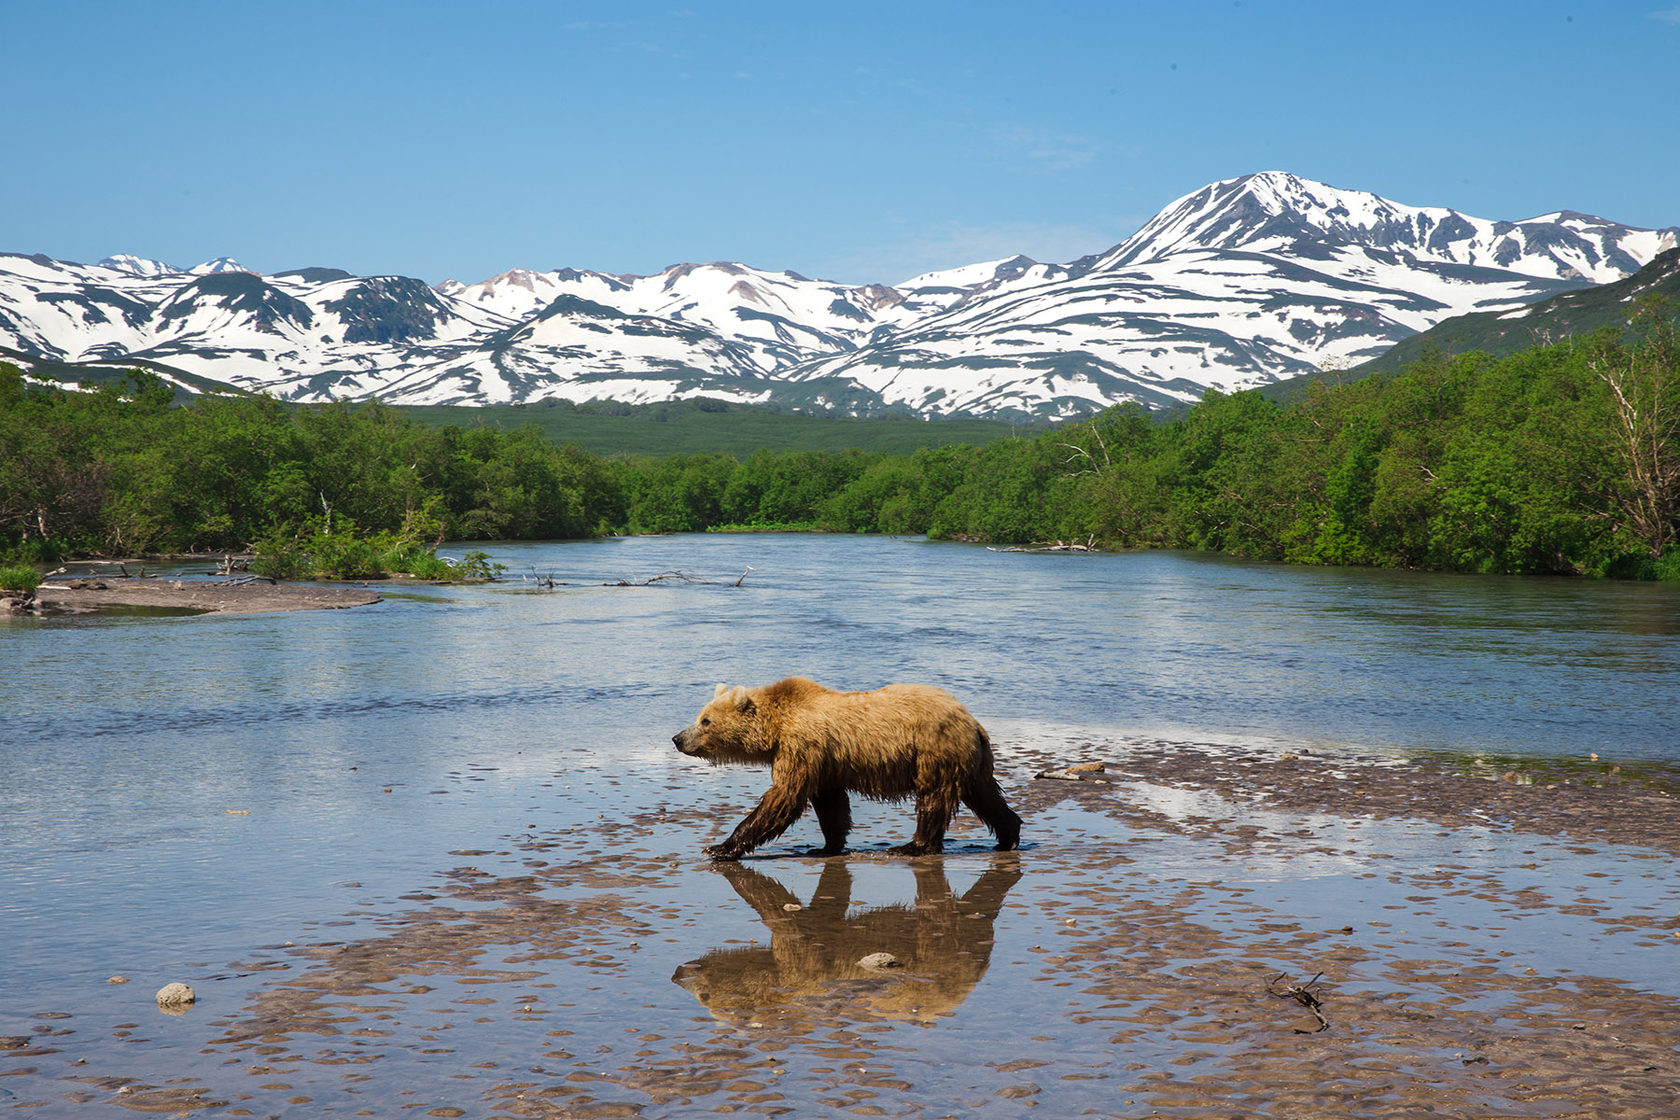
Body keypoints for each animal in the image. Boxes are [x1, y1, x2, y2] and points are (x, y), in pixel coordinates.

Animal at [668, 675, 1021, 859]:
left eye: (705, 720)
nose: (677, 738)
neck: (776, 728)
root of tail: (972, 720)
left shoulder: (801, 746)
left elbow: (784, 797)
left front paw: (720, 847)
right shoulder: (825, 763)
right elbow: (830, 804)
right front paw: (826, 846)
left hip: (933, 749)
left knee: (933, 798)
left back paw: (912, 845)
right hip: (970, 760)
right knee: (985, 795)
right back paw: (1009, 835)